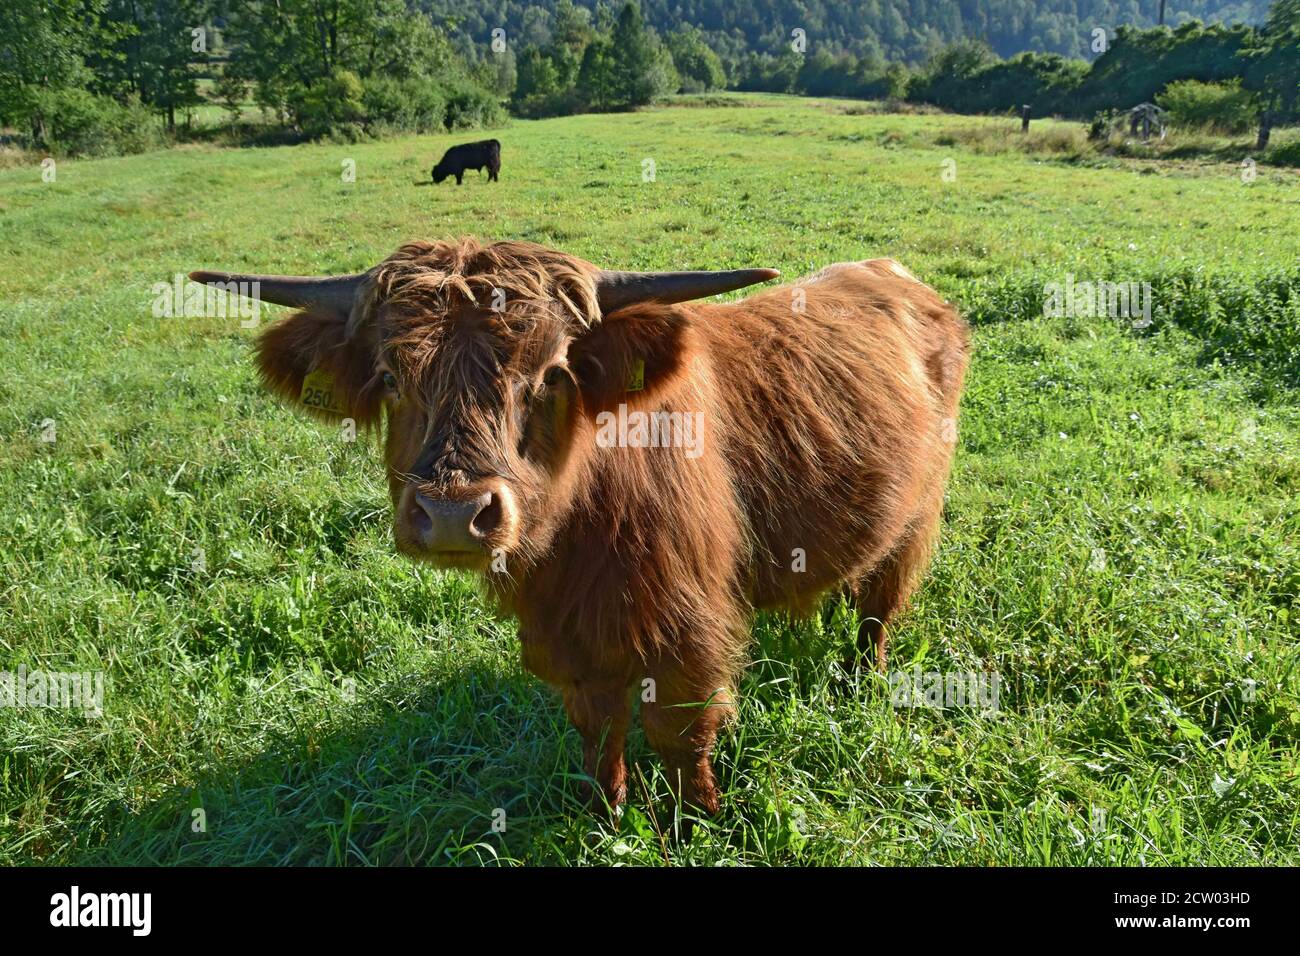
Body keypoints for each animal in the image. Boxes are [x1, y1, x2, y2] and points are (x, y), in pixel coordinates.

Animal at [189, 239, 969, 816]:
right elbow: (598, 731)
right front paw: (607, 817)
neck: (578, 537)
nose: (454, 514)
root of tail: (896, 275)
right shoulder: (564, 635)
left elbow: (680, 734)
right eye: (388, 376)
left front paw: (695, 824)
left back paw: (858, 685)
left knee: (879, 609)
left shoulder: (690, 627)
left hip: (918, 516)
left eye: (551, 375)